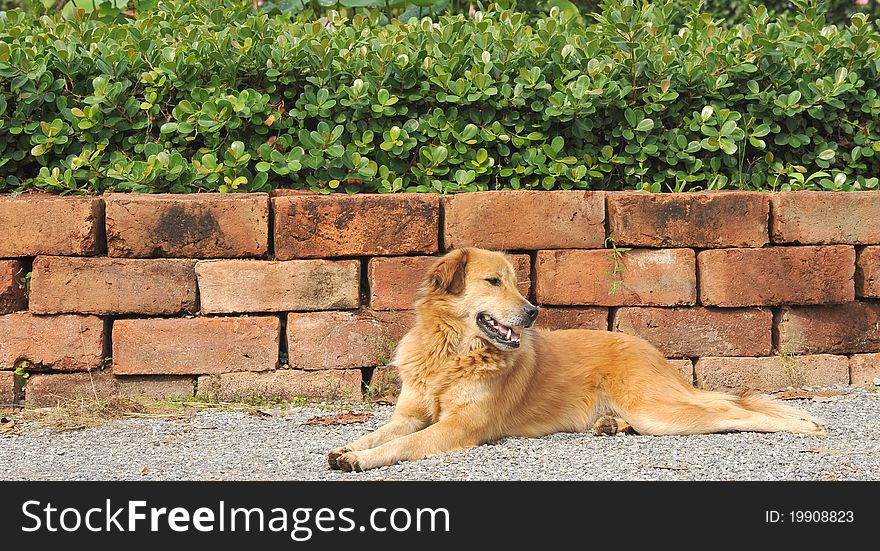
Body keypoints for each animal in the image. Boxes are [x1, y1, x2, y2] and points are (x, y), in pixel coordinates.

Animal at [324, 248, 824, 472]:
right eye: (493, 282)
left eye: (515, 282)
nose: (532, 312)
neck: (450, 352)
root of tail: (648, 348)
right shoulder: (410, 414)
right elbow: (380, 432)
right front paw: (349, 448)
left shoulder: (460, 428)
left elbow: (402, 446)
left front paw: (361, 460)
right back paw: (611, 425)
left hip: (660, 411)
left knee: (735, 411)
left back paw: (803, 426)